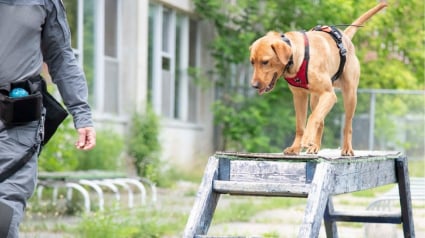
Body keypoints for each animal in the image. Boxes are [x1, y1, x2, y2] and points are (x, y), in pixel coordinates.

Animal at [250, 3, 386, 156]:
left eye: (265, 62)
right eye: (252, 62)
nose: (254, 85)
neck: (298, 56)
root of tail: (345, 37)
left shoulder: (329, 94)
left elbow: (312, 117)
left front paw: (306, 138)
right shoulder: (299, 97)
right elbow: (301, 125)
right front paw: (296, 147)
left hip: (350, 95)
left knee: (346, 124)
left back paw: (346, 148)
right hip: (315, 99)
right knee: (321, 120)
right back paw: (314, 146)